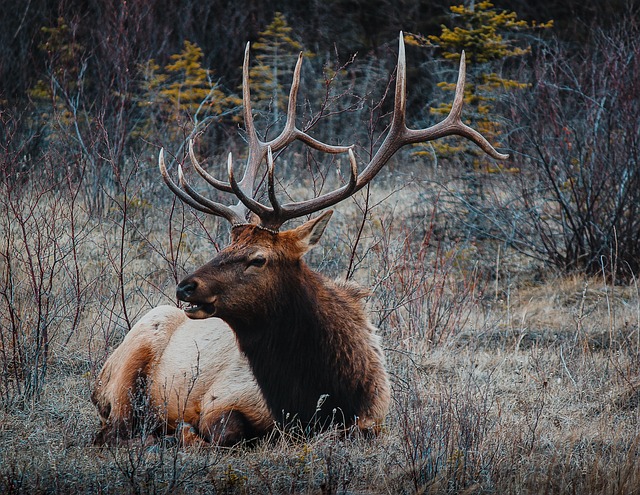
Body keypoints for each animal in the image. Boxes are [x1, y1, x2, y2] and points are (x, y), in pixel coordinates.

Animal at [92, 33, 508, 448]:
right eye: (226, 247)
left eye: (258, 258)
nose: (186, 287)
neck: (315, 396)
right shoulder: (220, 398)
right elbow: (220, 430)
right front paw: (182, 431)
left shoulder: (373, 418)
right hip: (133, 357)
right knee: (114, 427)